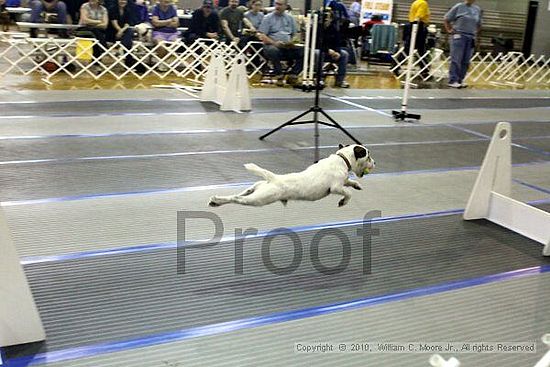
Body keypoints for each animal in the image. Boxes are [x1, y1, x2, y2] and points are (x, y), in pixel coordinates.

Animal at [209, 145, 378, 208]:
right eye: (368, 156)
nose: (375, 162)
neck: (342, 159)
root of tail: (273, 178)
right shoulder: (336, 187)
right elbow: (347, 192)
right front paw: (343, 201)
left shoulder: (344, 180)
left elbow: (349, 182)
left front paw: (357, 185)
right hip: (259, 199)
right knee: (237, 198)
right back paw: (217, 200)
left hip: (256, 189)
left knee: (241, 193)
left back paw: (216, 200)